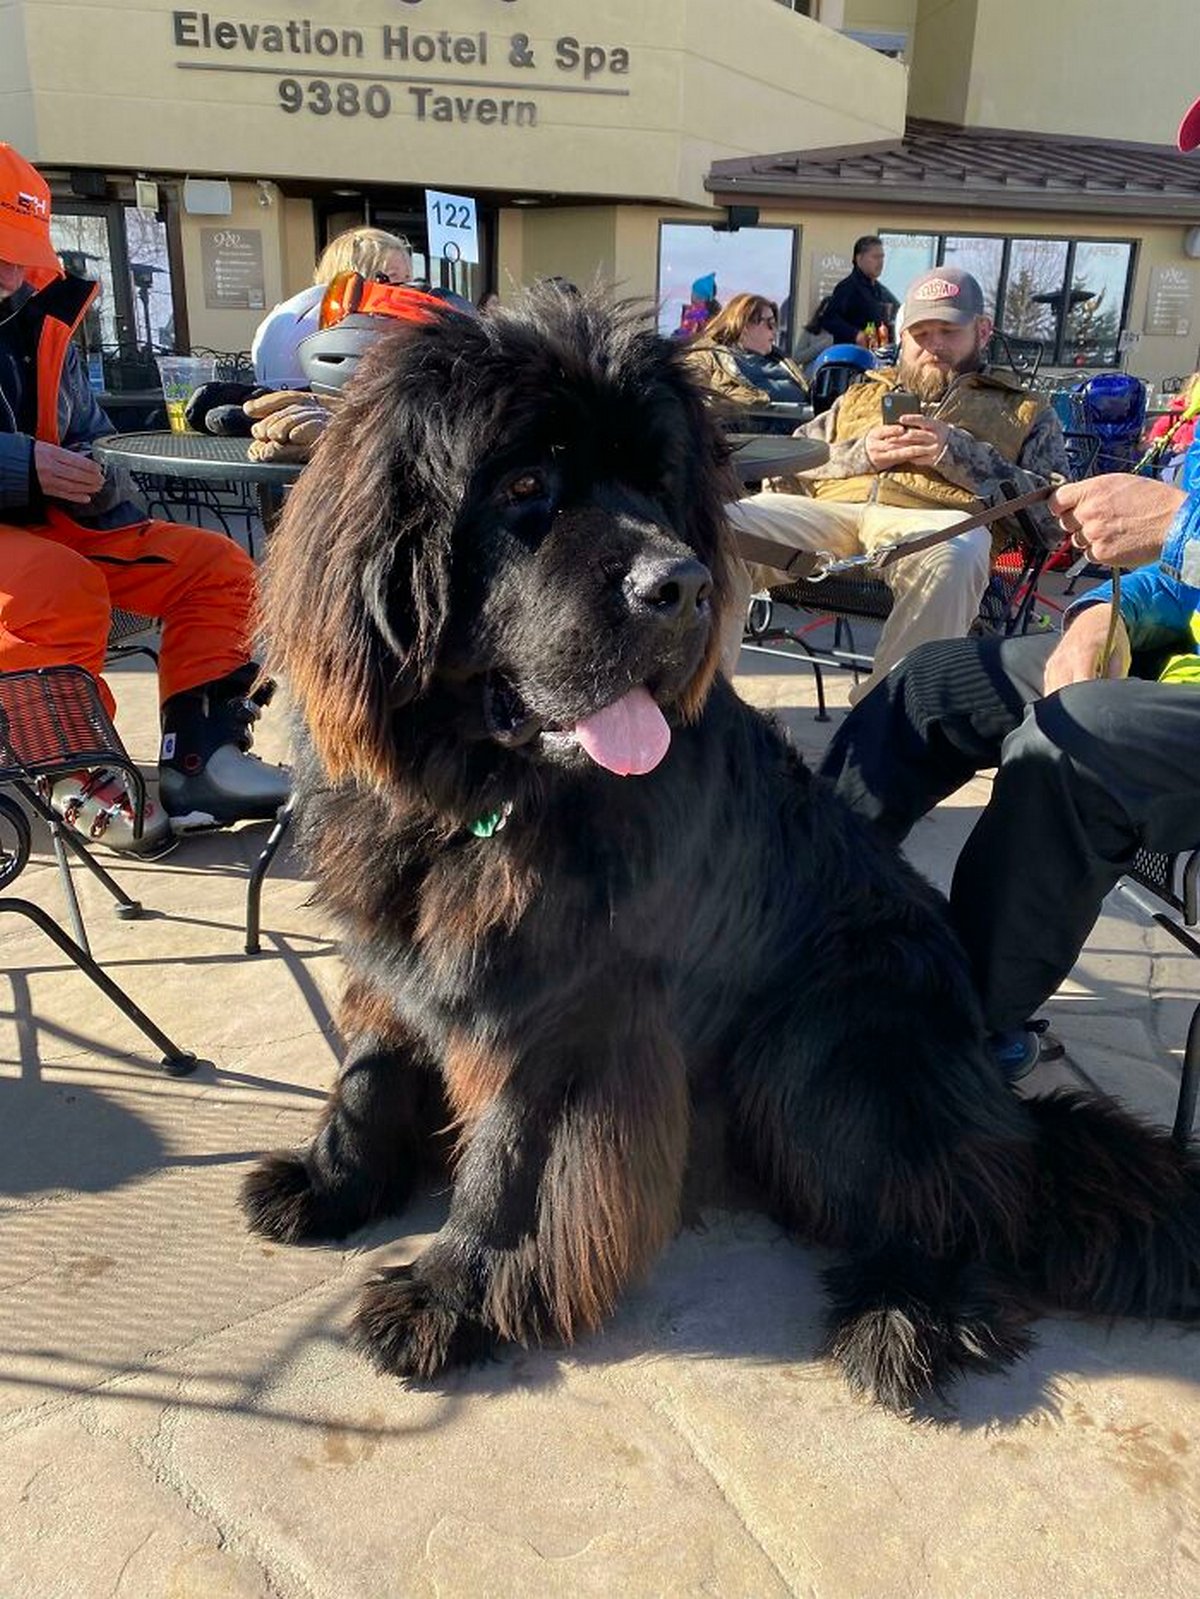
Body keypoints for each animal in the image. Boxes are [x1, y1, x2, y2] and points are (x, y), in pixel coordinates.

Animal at [244, 291, 1200, 1413]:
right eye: (523, 486)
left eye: (659, 488)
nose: (685, 585)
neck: (480, 795)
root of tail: (993, 1099)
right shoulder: (393, 954)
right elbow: (368, 1071)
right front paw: (330, 1182)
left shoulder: (568, 1013)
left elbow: (511, 1166)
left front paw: (451, 1295)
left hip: (831, 1044)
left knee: (964, 1204)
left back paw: (906, 1319)